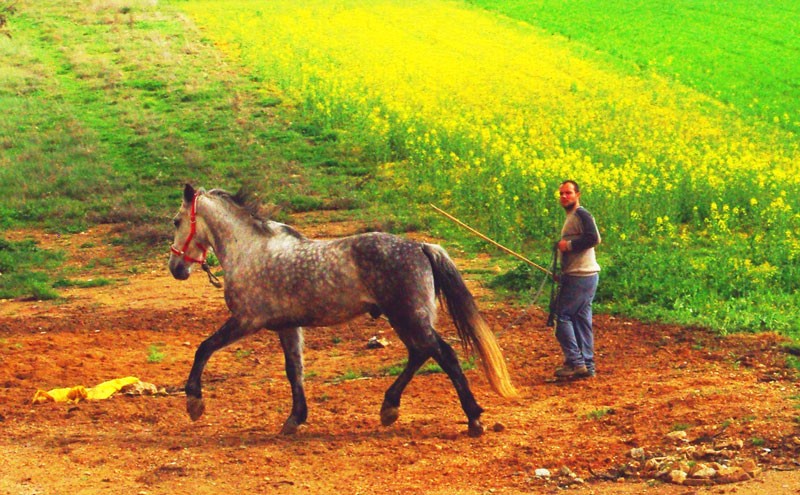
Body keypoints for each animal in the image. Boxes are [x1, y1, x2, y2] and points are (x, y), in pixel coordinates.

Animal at [169, 186, 520, 438]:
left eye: (176, 221)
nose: (175, 268)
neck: (251, 250)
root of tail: (421, 246)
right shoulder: (288, 327)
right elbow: (294, 370)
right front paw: (295, 419)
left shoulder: (246, 320)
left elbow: (204, 348)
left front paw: (194, 402)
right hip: (405, 318)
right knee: (421, 353)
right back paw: (389, 408)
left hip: (409, 316)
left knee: (443, 354)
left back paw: (473, 419)